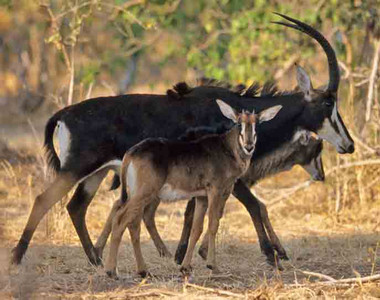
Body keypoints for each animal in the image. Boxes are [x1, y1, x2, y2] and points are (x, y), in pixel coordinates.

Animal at [104, 99, 282, 278]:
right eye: (239, 123)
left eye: (257, 124)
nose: (249, 146)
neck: (227, 148)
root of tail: (131, 153)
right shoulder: (216, 191)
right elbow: (213, 224)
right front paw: (213, 266)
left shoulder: (202, 197)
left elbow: (197, 228)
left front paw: (185, 267)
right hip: (144, 194)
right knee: (120, 219)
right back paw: (111, 271)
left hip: (139, 195)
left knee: (133, 224)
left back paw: (143, 270)